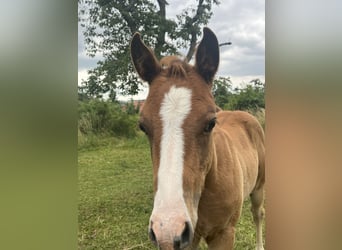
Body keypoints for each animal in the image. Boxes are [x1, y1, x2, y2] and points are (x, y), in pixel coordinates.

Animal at [130, 27, 266, 250]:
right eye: (143, 126)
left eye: (211, 123)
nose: (167, 228)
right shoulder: (189, 238)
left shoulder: (224, 234)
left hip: (259, 187)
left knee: (258, 214)